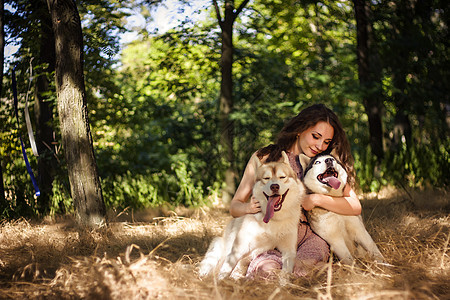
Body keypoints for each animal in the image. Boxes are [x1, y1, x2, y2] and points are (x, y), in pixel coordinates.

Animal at [200, 151, 306, 280]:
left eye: (282, 177)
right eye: (266, 178)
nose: (274, 186)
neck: (275, 219)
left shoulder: (289, 251)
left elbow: (285, 275)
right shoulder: (238, 249)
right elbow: (225, 270)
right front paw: (220, 283)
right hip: (217, 247)